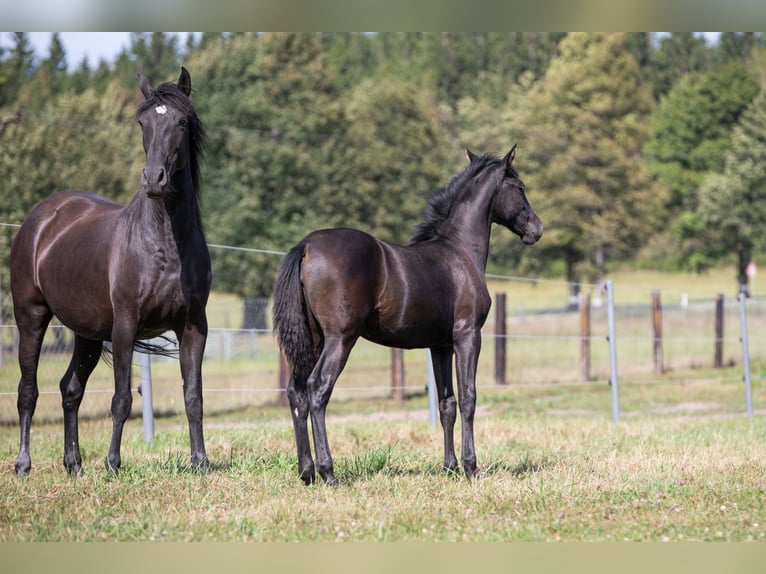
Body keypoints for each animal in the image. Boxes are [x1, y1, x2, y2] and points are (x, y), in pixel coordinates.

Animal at [9, 67, 213, 476]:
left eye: (181, 122)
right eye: (142, 122)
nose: (154, 179)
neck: (166, 244)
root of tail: (39, 219)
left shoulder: (194, 326)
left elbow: (193, 396)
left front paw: (201, 462)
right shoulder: (125, 326)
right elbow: (121, 399)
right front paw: (113, 464)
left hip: (86, 332)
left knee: (69, 389)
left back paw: (74, 464)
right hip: (31, 318)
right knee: (28, 391)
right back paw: (23, 464)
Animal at [272, 145, 544, 486]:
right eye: (519, 187)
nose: (537, 229)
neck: (460, 253)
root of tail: (307, 246)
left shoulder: (440, 346)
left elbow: (447, 404)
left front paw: (449, 467)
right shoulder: (468, 336)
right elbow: (468, 398)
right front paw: (470, 467)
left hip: (313, 339)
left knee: (297, 394)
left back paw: (306, 472)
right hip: (340, 340)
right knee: (318, 389)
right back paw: (328, 472)